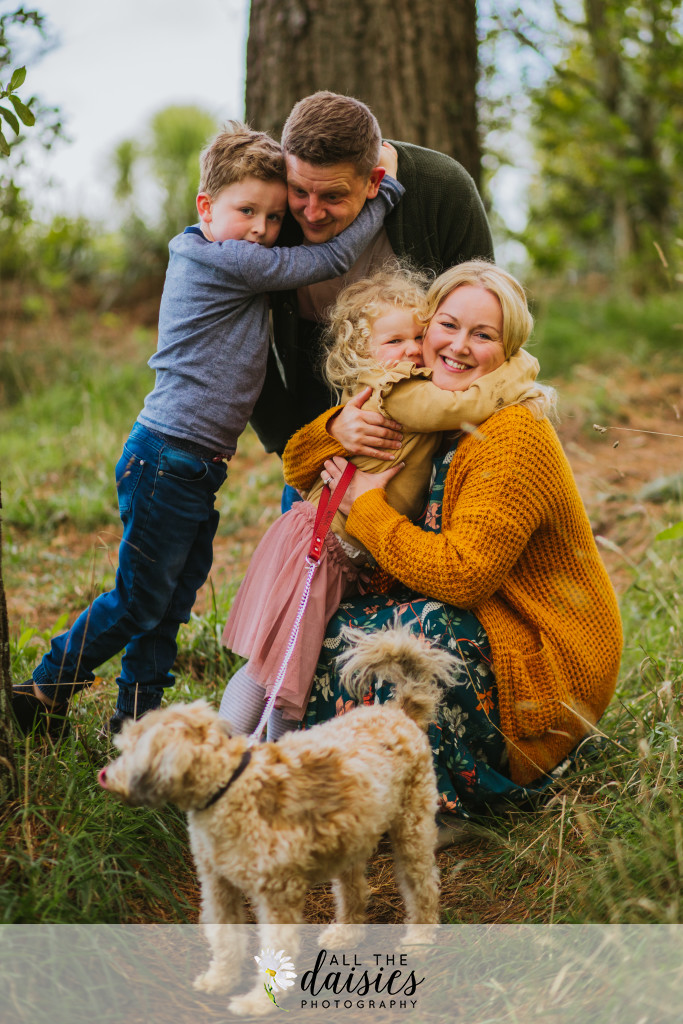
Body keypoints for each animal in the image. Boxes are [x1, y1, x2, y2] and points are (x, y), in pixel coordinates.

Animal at [99, 625, 453, 1015]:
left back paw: (419, 939)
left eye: (131, 750)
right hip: (349, 838)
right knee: (355, 890)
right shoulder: (218, 886)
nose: (104, 776)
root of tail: (399, 712)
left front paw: (258, 1003)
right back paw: (345, 934)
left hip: (411, 830)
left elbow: (276, 950)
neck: (229, 786)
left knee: (423, 887)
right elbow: (226, 940)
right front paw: (220, 980)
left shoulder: (277, 895)